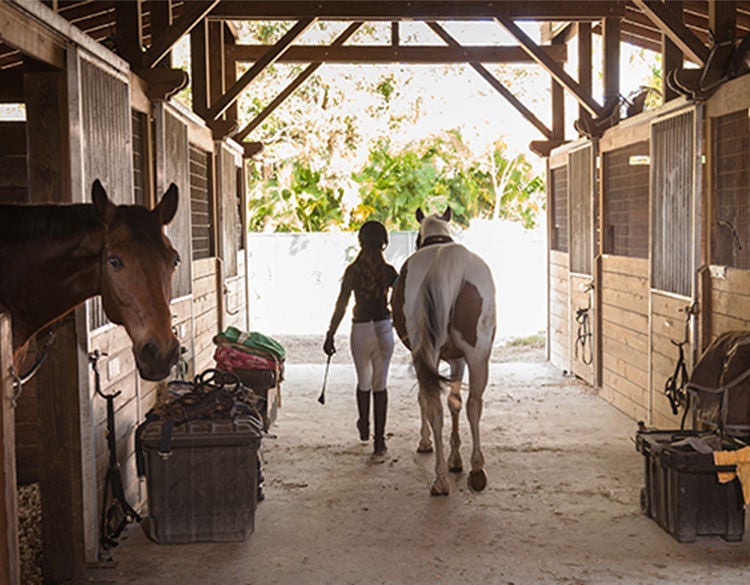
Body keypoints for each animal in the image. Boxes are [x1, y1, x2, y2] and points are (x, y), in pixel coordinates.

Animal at [390, 205, 496, 492]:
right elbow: (455, 403)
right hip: (478, 354)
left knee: (434, 407)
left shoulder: (426, 357)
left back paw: (439, 479)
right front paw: (456, 458)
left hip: (428, 353)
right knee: (473, 404)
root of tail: (448, 262)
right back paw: (477, 470)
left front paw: (427, 443)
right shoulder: (458, 359)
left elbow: (427, 400)